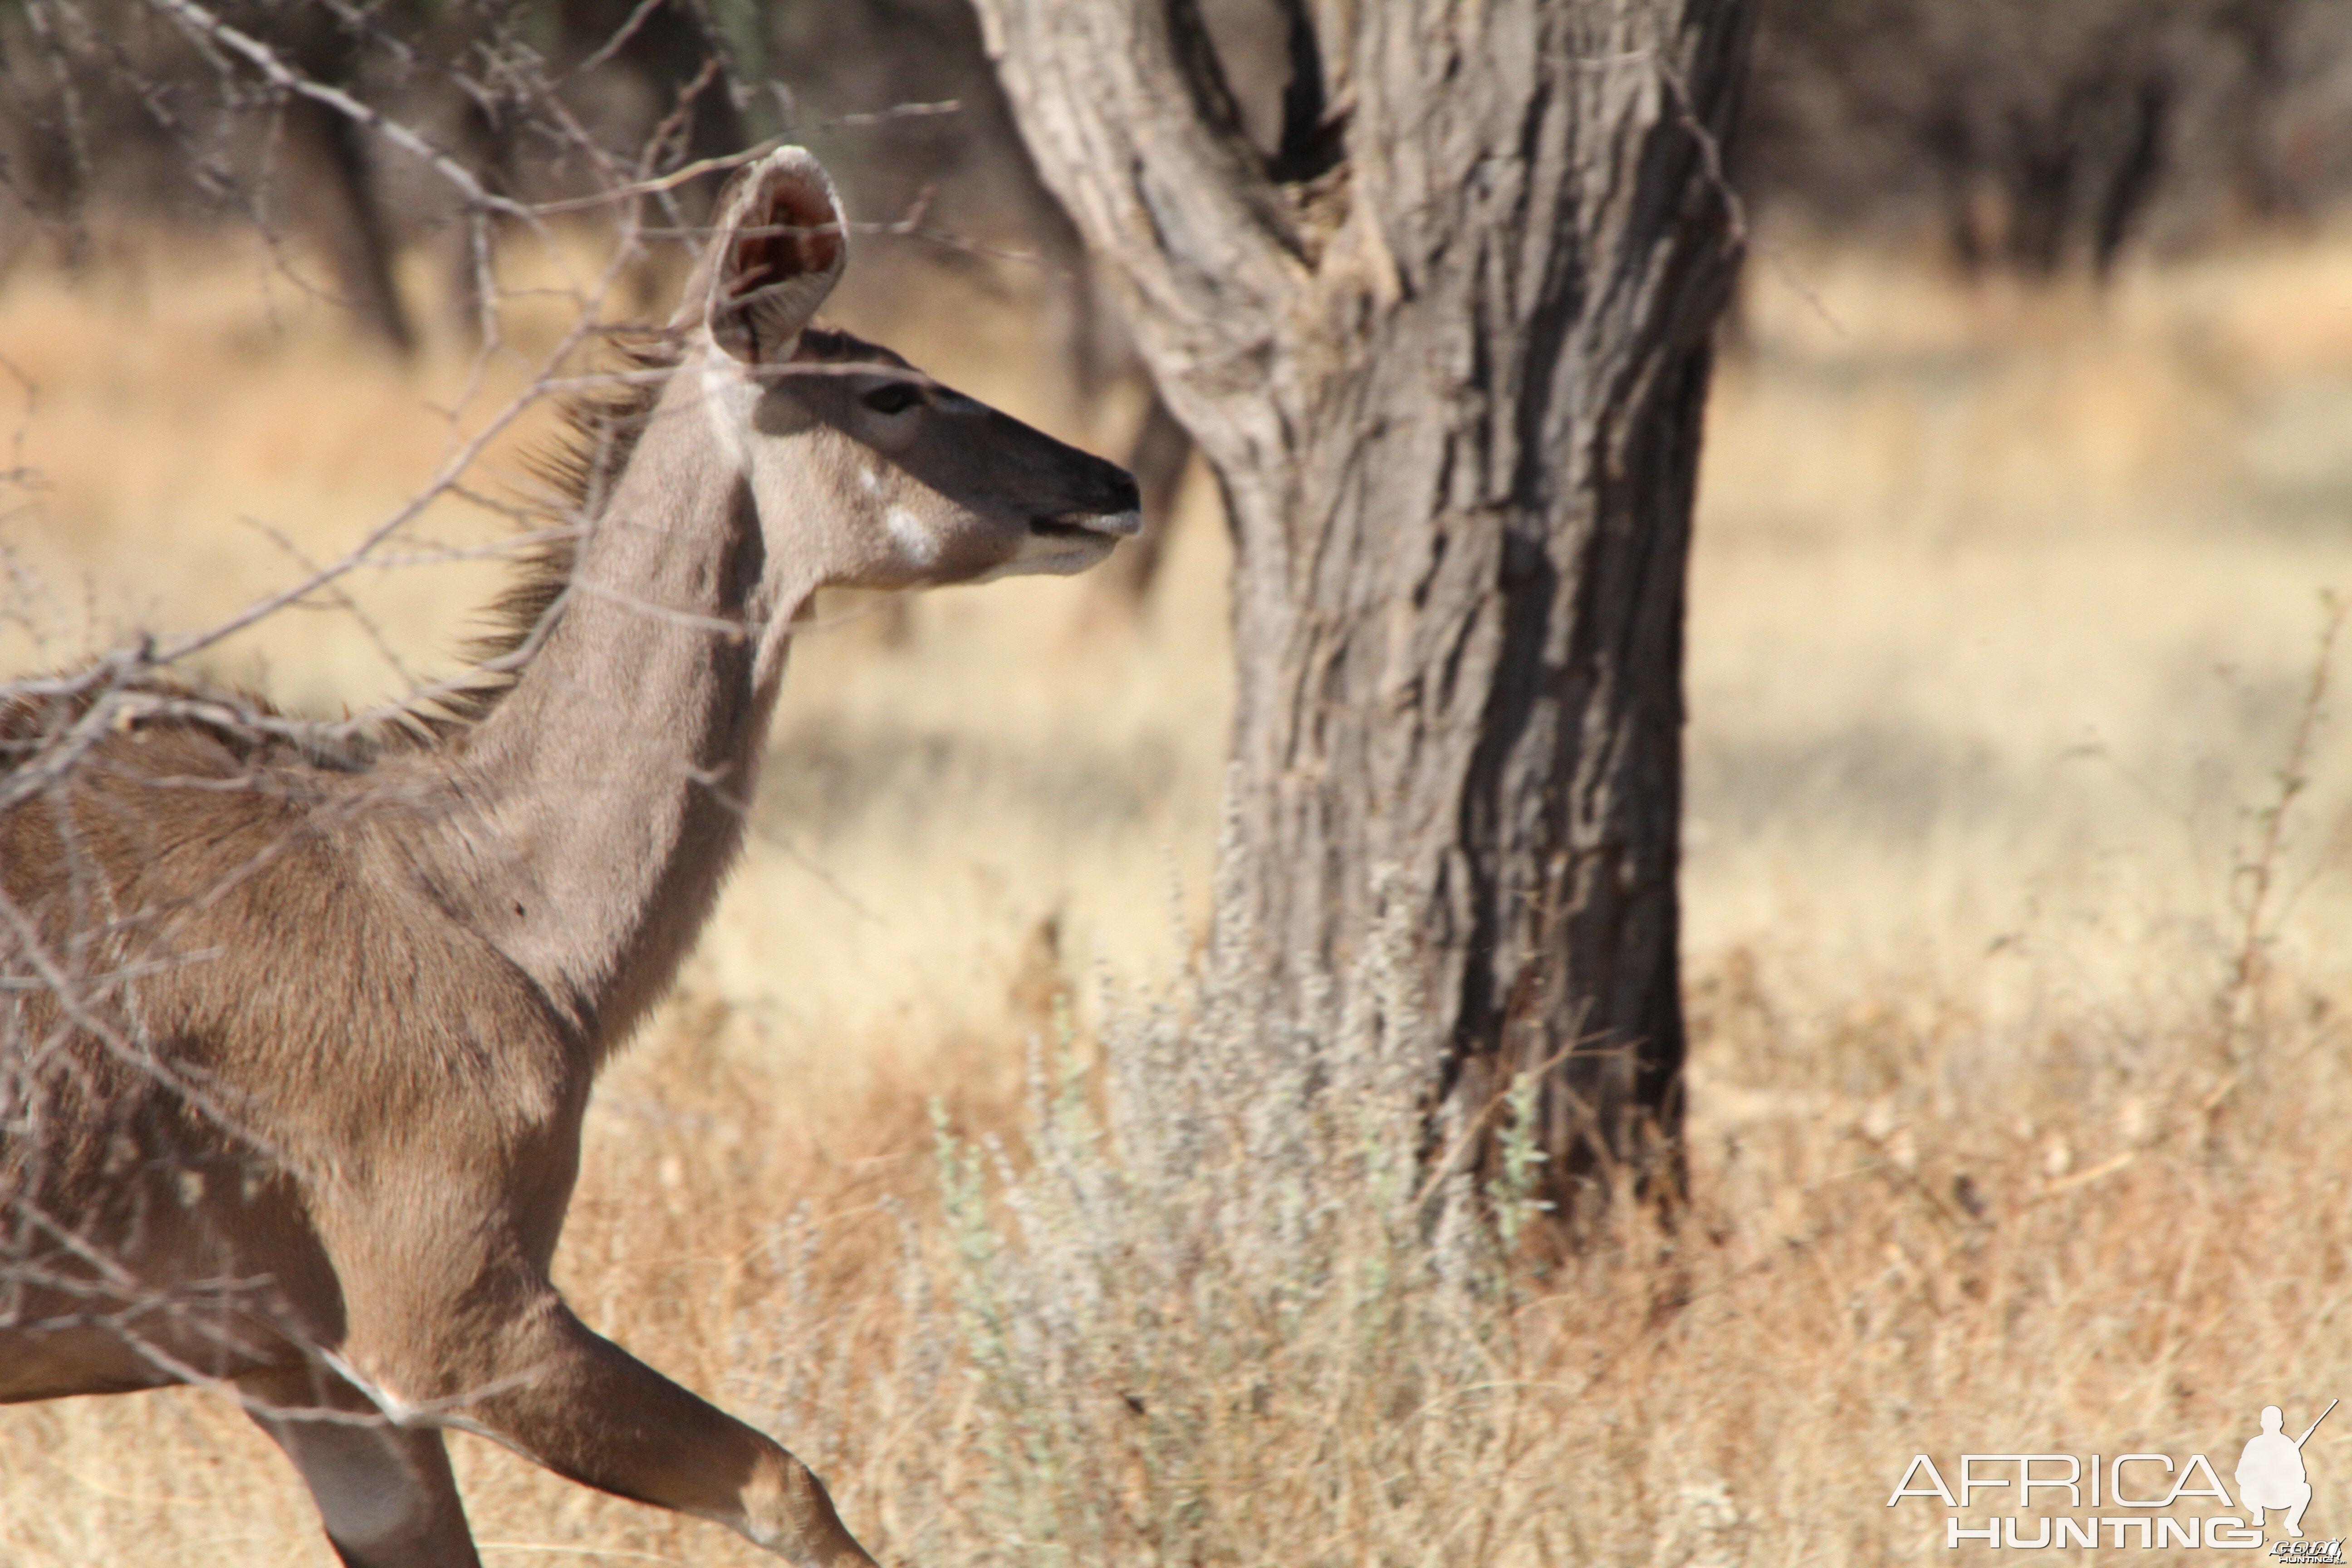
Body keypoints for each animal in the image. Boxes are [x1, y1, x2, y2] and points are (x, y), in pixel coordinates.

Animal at [0, 144, 1138, 1561]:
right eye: (891, 392)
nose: (1109, 484)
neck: (489, 899)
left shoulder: (318, 1385)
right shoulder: (451, 1326)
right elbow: (789, 1483)